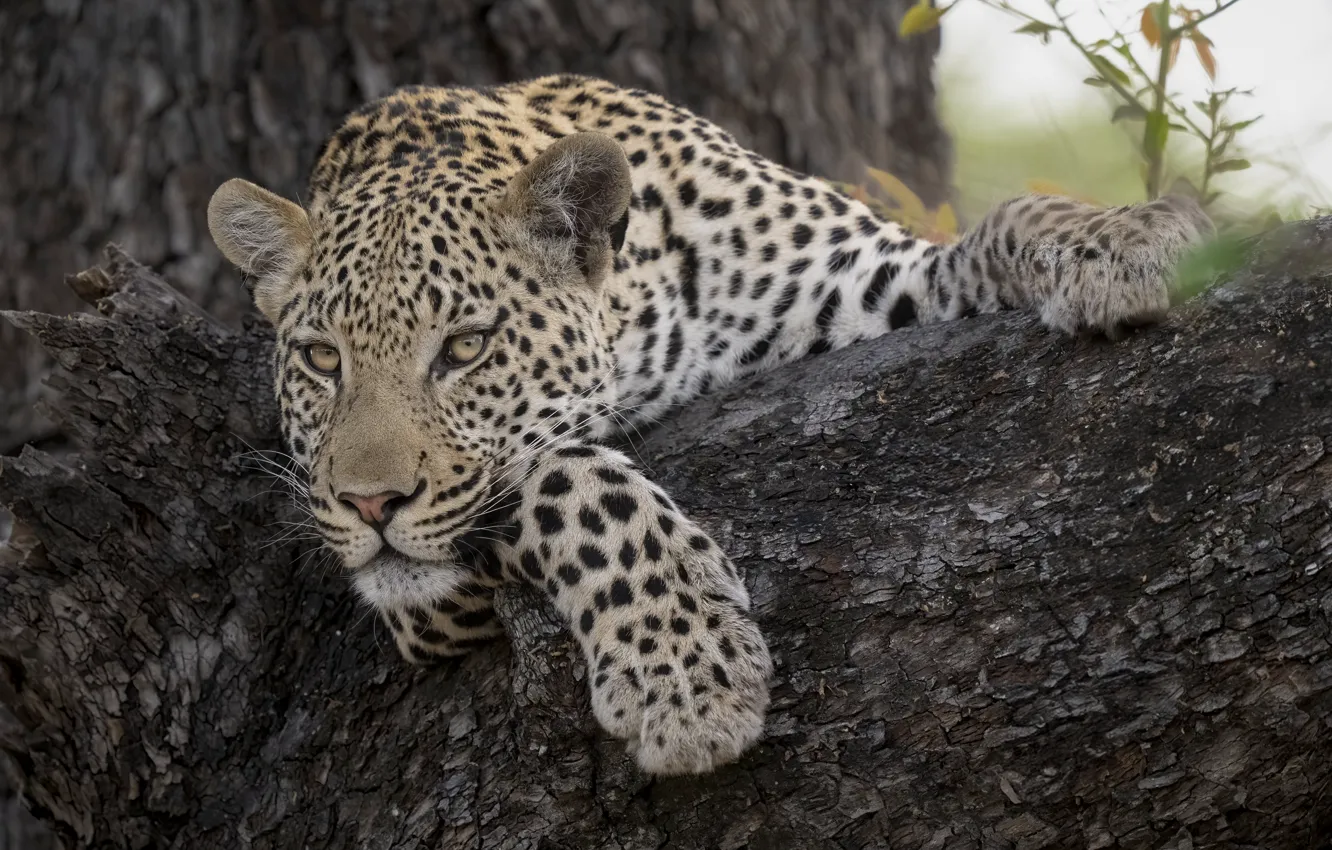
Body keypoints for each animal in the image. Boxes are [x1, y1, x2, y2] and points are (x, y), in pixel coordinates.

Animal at [206, 74, 1212, 776]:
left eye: (465, 347)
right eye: (321, 360)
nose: (368, 505)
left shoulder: (866, 281)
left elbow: (1009, 217)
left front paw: (1130, 238)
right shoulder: (432, 607)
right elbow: (563, 471)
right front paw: (687, 672)